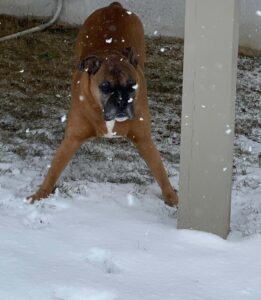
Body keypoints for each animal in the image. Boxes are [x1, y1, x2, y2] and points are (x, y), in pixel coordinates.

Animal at [26, 1, 179, 206]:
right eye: (105, 87)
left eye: (132, 85)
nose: (122, 102)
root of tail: (114, 6)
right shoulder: (72, 139)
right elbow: (54, 169)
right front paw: (40, 194)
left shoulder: (144, 139)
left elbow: (160, 171)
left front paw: (172, 198)